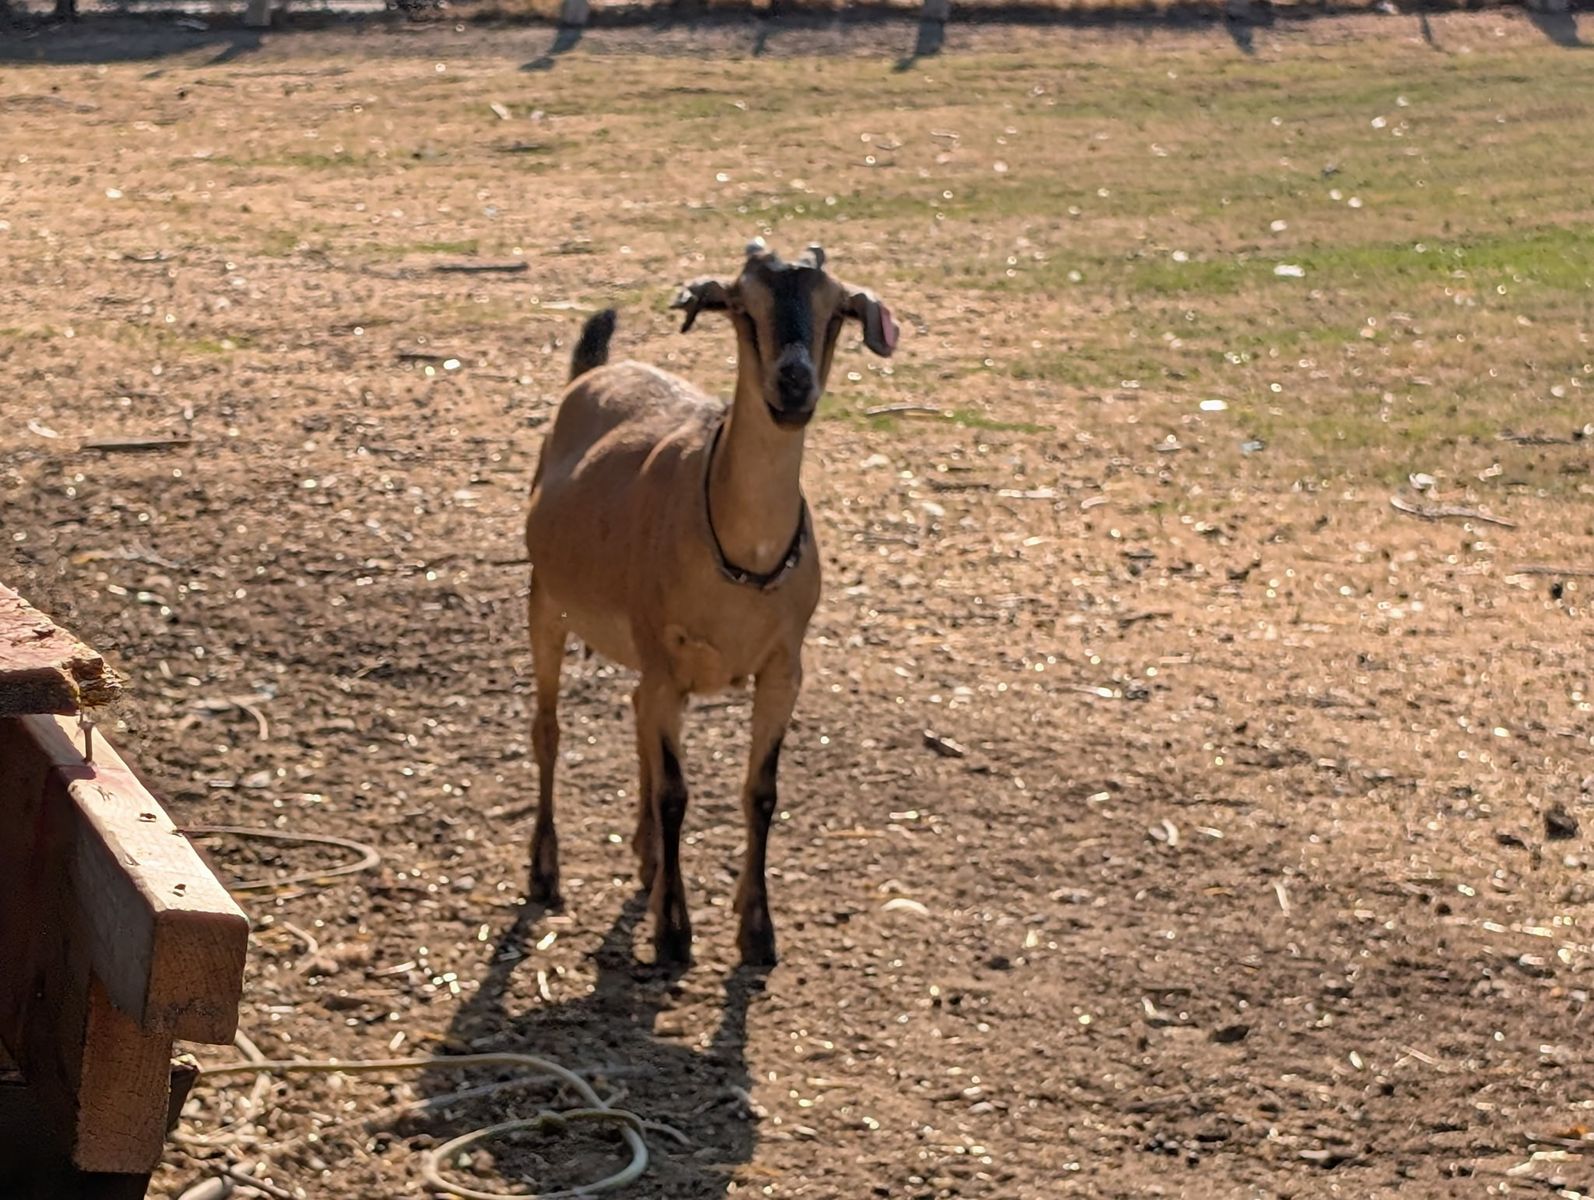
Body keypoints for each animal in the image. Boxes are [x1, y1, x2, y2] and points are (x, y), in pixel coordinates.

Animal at [522, 240, 897, 966]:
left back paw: (645, 859)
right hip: (545, 599)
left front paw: (757, 929)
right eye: (742, 307)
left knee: (633, 708)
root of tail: (594, 373)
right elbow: (676, 793)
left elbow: (762, 793)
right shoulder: (669, 660)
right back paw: (546, 872)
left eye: (837, 310)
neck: (744, 552)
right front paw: (674, 931)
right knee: (548, 729)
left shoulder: (782, 669)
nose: (793, 385)